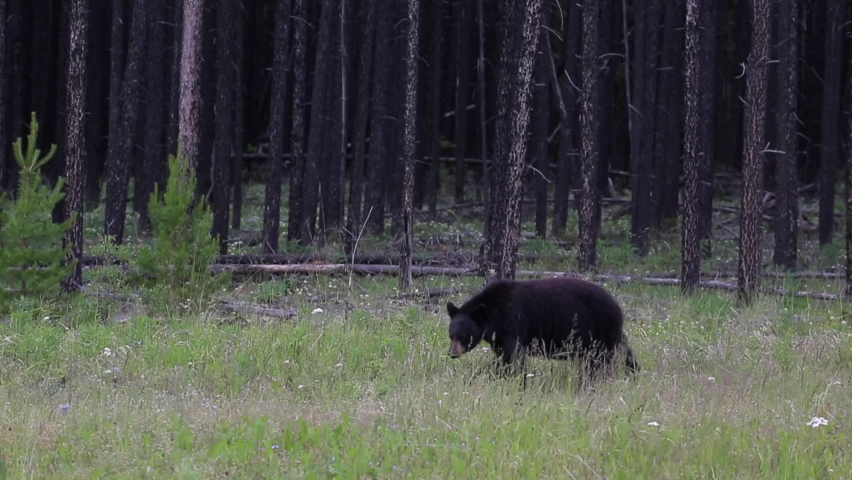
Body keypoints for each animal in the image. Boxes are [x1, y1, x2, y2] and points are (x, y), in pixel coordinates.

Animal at [445, 277, 639, 379]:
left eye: (463, 336)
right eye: (451, 335)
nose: (452, 353)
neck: (494, 313)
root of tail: (616, 304)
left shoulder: (513, 321)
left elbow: (513, 355)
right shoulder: (498, 336)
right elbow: (503, 355)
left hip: (600, 329)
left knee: (602, 360)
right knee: (623, 348)